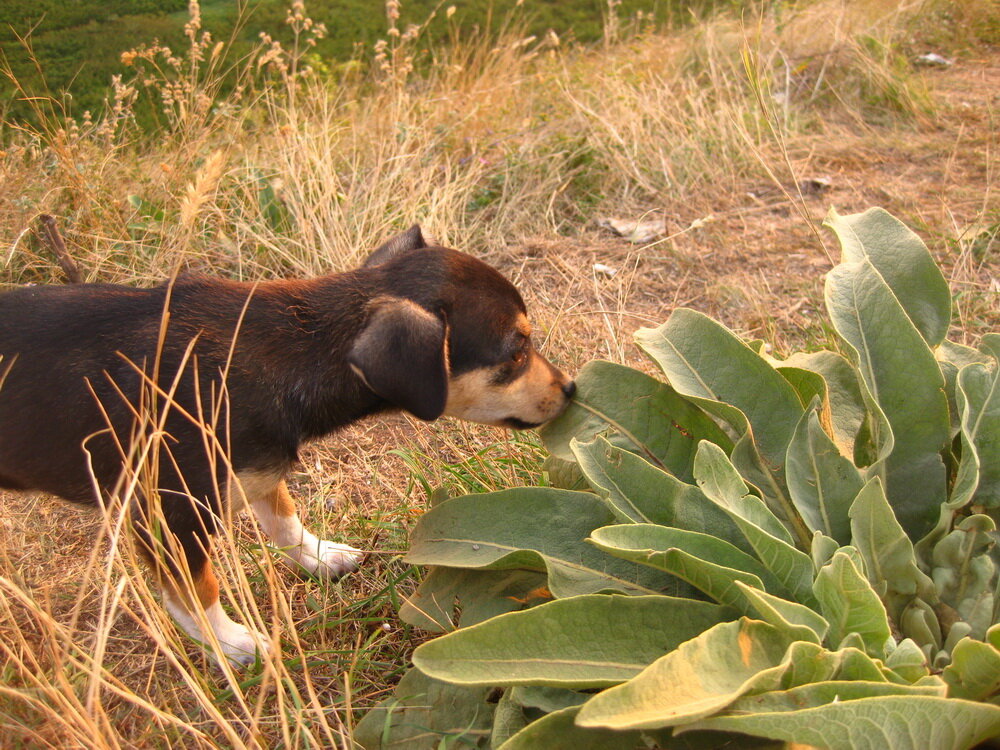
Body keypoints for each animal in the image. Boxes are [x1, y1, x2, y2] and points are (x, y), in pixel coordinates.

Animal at [0, 226, 576, 668]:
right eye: (516, 350)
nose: (571, 388)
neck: (288, 352)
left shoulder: (259, 469)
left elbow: (283, 519)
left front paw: (320, 558)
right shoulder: (168, 514)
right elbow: (196, 591)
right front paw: (232, 645)